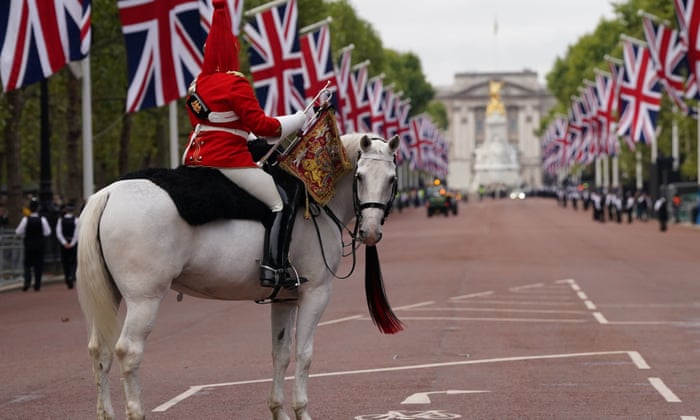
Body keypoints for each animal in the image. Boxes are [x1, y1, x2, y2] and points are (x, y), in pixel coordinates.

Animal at [76, 134, 400, 420]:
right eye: (360, 177)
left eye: (391, 179)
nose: (370, 232)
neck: (316, 196)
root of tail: (109, 192)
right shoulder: (316, 293)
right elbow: (305, 354)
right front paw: (301, 411)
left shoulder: (285, 298)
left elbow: (281, 353)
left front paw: (278, 411)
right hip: (145, 299)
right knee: (128, 351)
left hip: (112, 294)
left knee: (100, 350)